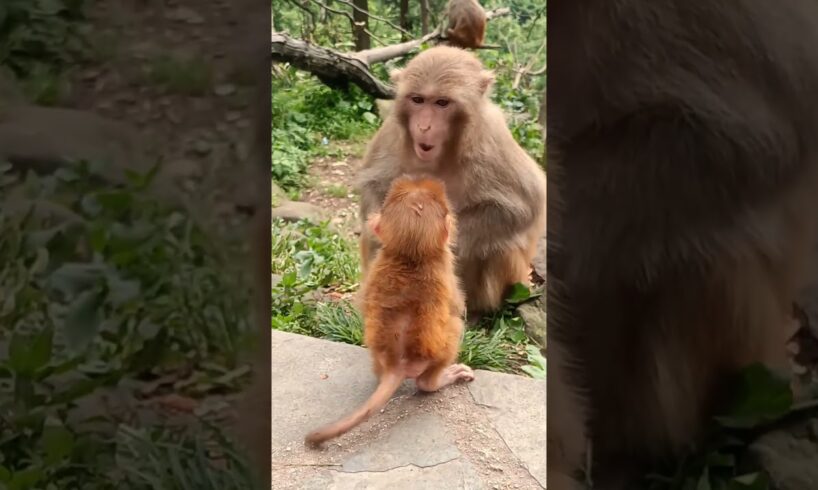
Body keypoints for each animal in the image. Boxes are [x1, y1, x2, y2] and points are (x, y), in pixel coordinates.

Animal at [304, 177, 472, 448]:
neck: (409, 258)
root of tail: (397, 362)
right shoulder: (446, 270)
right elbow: (457, 308)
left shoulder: (376, 264)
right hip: (434, 354)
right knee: (454, 328)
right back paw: (437, 381)